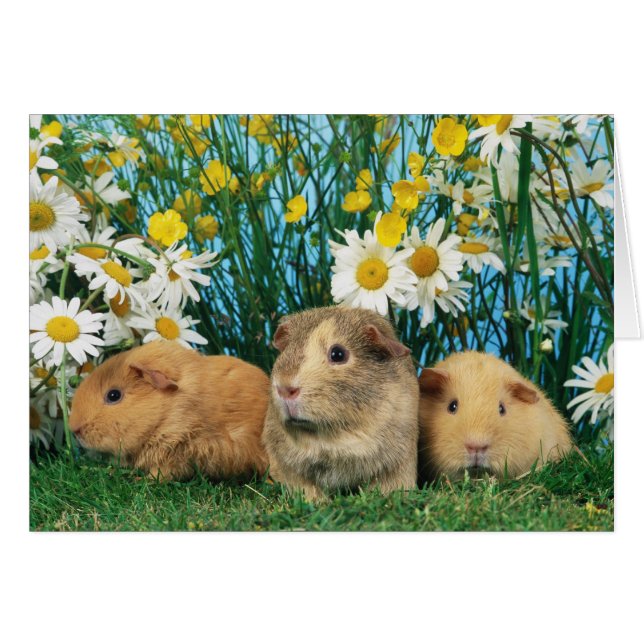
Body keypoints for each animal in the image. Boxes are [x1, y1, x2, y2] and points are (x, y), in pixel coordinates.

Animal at [262, 306, 419, 501]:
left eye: (338, 354)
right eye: (286, 351)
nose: (284, 388)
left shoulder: (397, 465)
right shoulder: (291, 469)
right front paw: (318, 502)